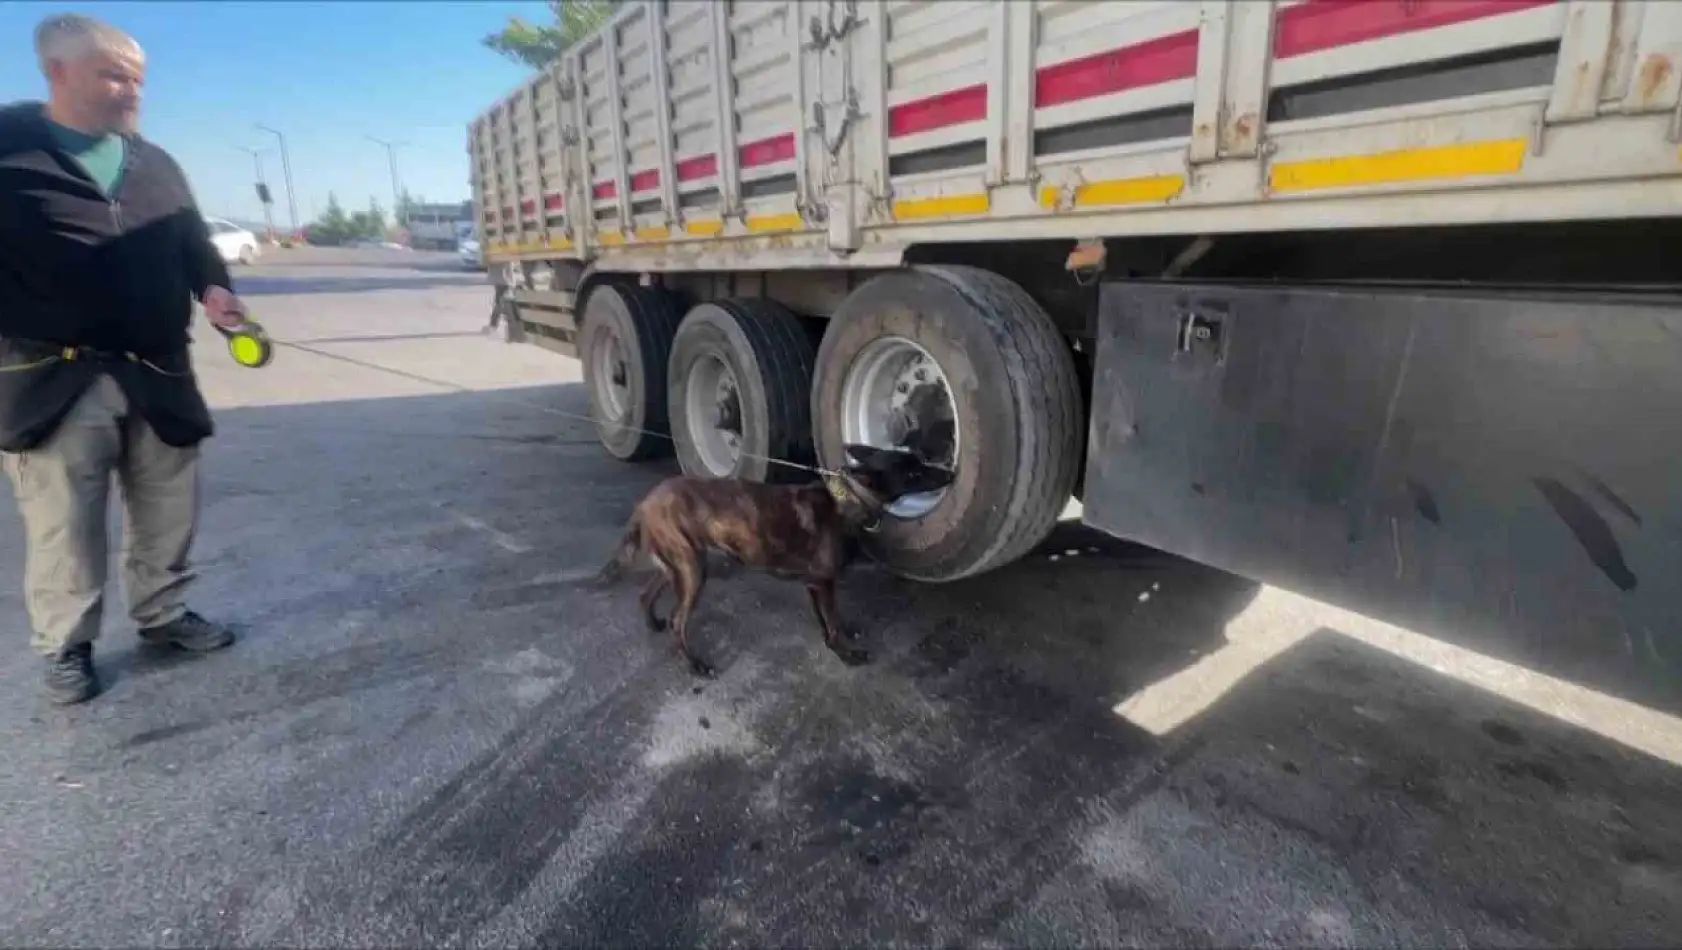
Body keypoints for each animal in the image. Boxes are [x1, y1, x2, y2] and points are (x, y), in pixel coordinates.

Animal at [598, 443, 955, 672]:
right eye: (913, 473)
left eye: (920, 461)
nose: (951, 474)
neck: (849, 499)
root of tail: (645, 503)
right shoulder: (825, 582)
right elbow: (833, 620)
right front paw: (845, 654)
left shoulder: (815, 584)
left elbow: (828, 619)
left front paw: (835, 639)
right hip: (692, 568)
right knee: (678, 621)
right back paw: (694, 664)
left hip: (679, 564)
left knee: (646, 594)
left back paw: (653, 623)